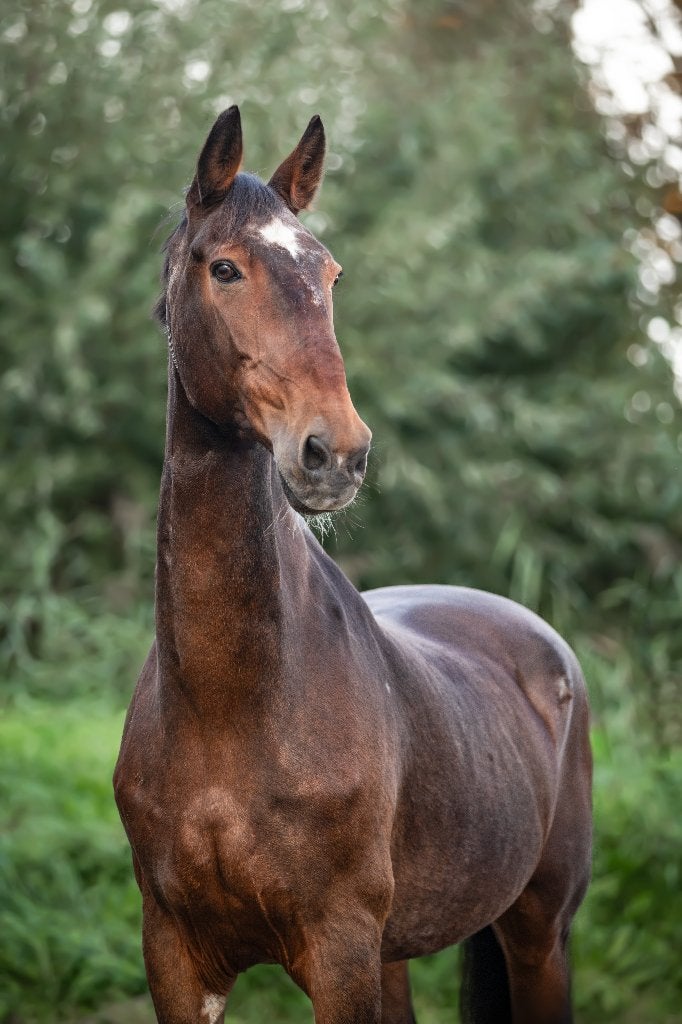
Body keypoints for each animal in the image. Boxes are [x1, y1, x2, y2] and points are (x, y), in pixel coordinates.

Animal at [114, 107, 592, 1024]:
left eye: (329, 272)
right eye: (223, 268)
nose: (335, 453)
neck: (233, 705)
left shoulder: (338, 953)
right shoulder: (175, 955)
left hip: (537, 935)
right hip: (399, 952)